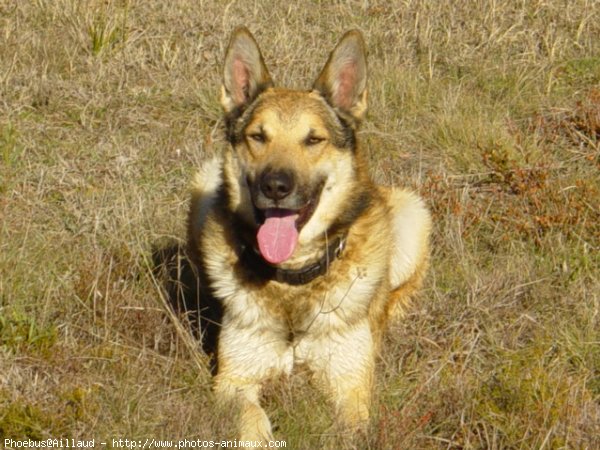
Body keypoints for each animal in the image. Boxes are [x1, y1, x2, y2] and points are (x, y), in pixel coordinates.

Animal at [188, 27, 432, 440]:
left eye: (313, 140)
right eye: (258, 136)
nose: (276, 186)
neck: (292, 282)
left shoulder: (350, 387)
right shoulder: (234, 382)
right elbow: (253, 422)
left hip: (413, 214)